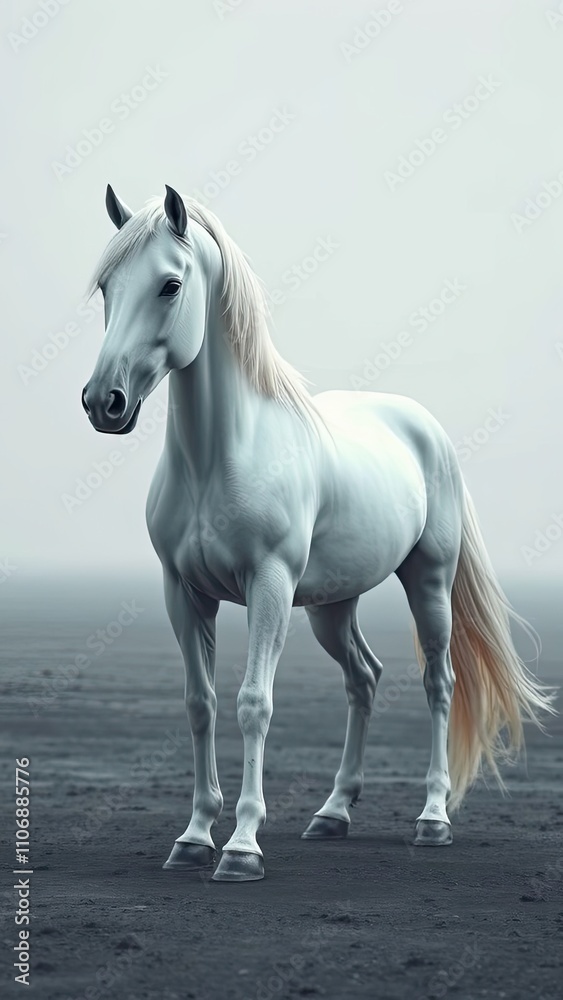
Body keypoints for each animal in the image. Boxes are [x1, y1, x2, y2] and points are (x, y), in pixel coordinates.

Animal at [81, 184, 555, 881]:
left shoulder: (269, 586)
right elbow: (201, 704)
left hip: (429, 583)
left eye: (170, 285)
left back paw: (432, 819)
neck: (220, 457)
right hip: (333, 606)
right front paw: (193, 836)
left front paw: (242, 846)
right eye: (107, 287)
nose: (103, 402)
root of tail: (424, 426)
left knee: (439, 682)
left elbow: (254, 703)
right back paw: (333, 812)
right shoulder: (183, 593)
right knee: (364, 677)